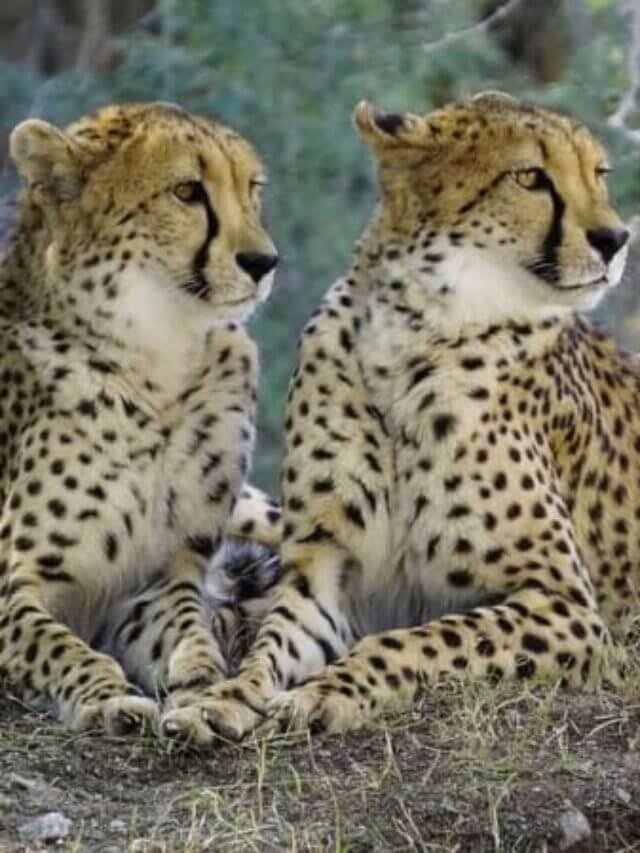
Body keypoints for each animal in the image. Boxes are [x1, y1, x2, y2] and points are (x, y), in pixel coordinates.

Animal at [0, 101, 283, 735]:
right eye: (187, 191)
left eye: (252, 189)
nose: (263, 261)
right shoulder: (13, 582)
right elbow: (57, 644)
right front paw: (106, 696)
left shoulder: (156, 580)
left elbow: (189, 631)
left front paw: (201, 685)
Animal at [159, 92, 639, 745]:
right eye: (530, 177)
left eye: (599, 173)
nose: (615, 238)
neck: (412, 332)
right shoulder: (326, 569)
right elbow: (273, 643)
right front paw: (225, 698)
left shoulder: (567, 604)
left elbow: (418, 640)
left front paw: (329, 692)